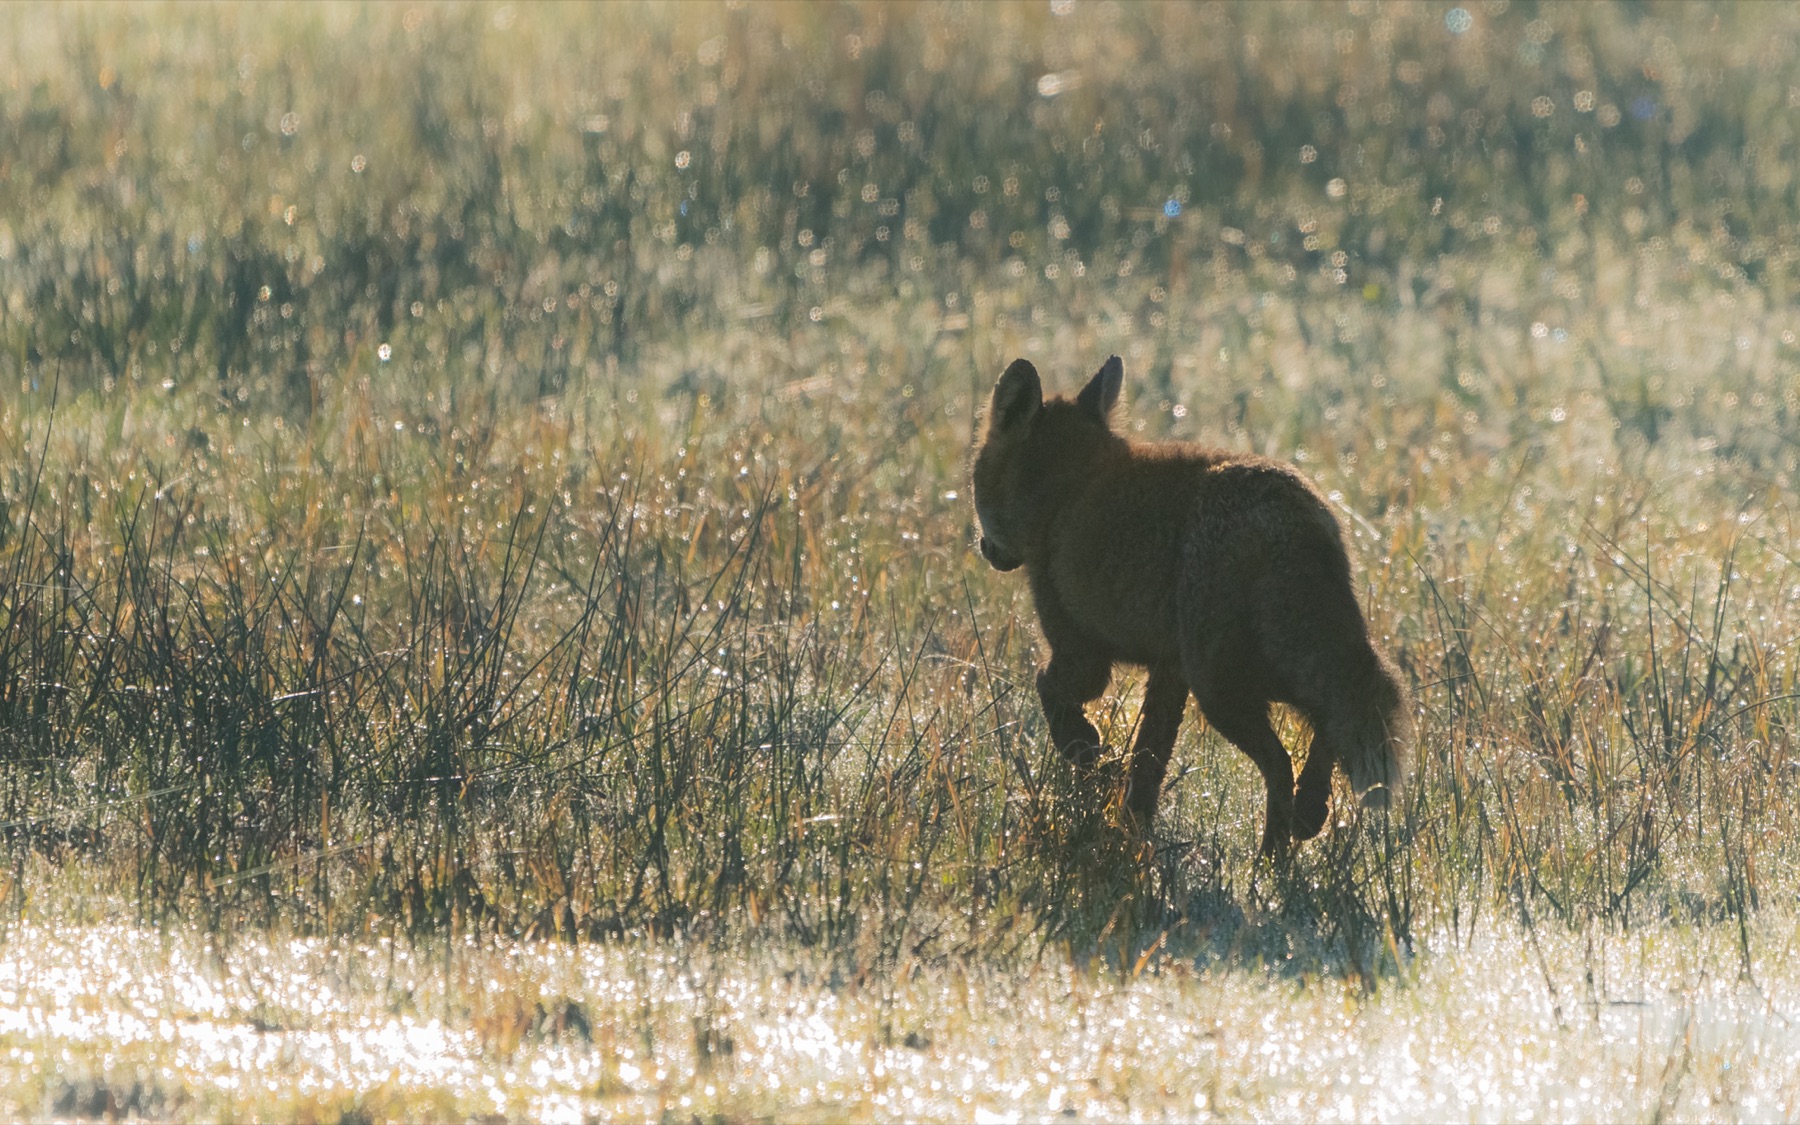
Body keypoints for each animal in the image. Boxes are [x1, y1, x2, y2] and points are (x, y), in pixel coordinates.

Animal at [972, 355, 1411, 857]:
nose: (985, 548)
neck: (1066, 494)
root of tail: (1288, 515)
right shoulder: (1168, 669)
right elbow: (1148, 764)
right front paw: (1131, 827)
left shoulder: (1081, 651)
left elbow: (1050, 692)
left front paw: (1087, 752)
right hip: (1265, 669)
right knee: (1326, 725)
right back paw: (1309, 813)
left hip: (1221, 684)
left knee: (1282, 762)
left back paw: (1270, 861)